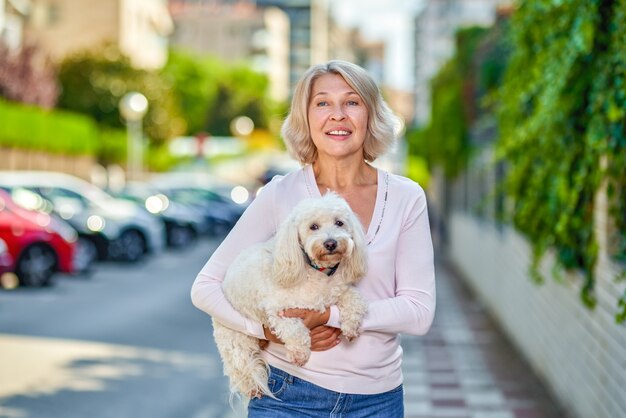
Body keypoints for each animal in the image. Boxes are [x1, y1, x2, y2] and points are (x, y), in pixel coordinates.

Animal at [211, 193, 366, 398]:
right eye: (313, 226)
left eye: (339, 223)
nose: (331, 243)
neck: (317, 271)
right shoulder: (279, 310)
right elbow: (295, 330)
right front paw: (300, 353)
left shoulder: (339, 289)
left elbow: (355, 300)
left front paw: (350, 326)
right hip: (234, 338)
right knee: (241, 364)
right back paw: (252, 387)